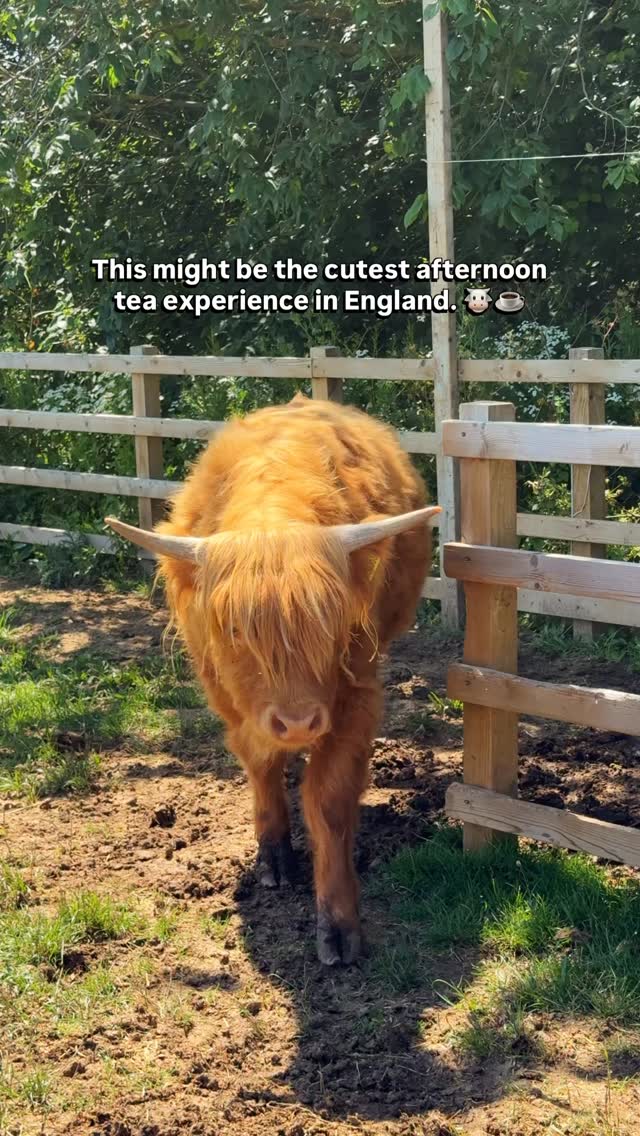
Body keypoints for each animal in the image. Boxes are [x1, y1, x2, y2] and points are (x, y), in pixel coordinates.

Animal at [106, 393, 440, 965]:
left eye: (331, 623)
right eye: (237, 630)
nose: (299, 722)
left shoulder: (357, 693)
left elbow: (328, 801)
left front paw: (338, 924)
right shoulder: (228, 694)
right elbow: (259, 760)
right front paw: (275, 855)